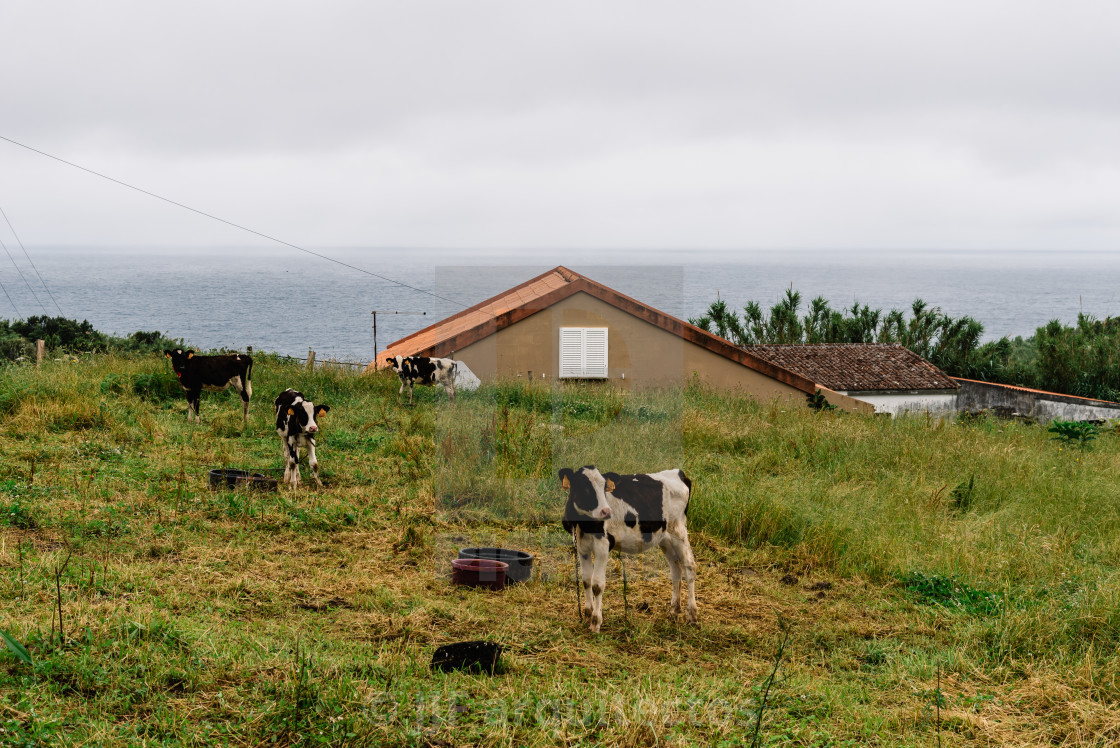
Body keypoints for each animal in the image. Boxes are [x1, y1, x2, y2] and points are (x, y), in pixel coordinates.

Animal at [560, 468, 698, 631]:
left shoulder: (603, 546)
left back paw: (692, 616)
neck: (582, 525)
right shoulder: (582, 548)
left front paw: (595, 622)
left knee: (689, 566)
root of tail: (678, 473)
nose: (606, 512)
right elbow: (586, 580)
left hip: (679, 532)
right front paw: (588, 614)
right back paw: (673, 612)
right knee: (676, 569)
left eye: (604, 487)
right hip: (665, 538)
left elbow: (597, 585)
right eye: (583, 487)